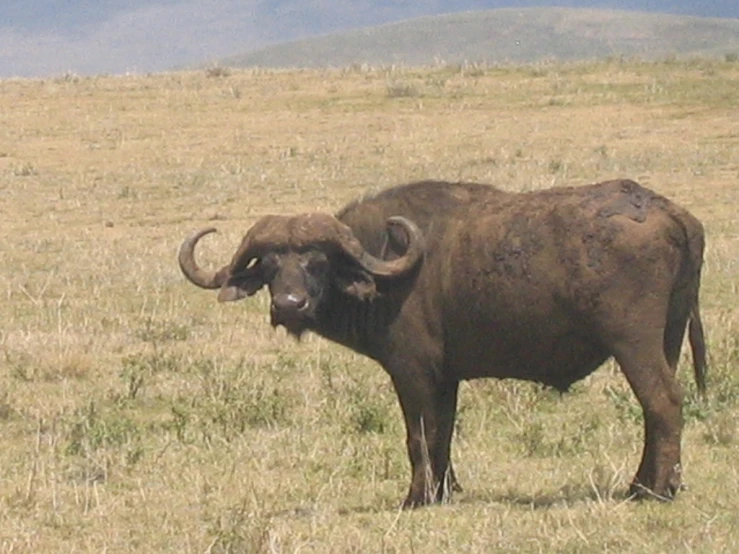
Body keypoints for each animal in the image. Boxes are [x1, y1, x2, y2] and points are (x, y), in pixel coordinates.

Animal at [178, 179, 704, 506]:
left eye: (316, 261)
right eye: (269, 262)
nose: (290, 304)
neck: (387, 273)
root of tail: (668, 211)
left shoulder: (412, 374)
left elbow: (419, 435)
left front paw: (417, 496)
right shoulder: (446, 379)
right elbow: (444, 433)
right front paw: (445, 490)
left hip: (633, 344)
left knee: (663, 401)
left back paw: (656, 490)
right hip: (667, 340)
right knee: (656, 410)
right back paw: (643, 484)